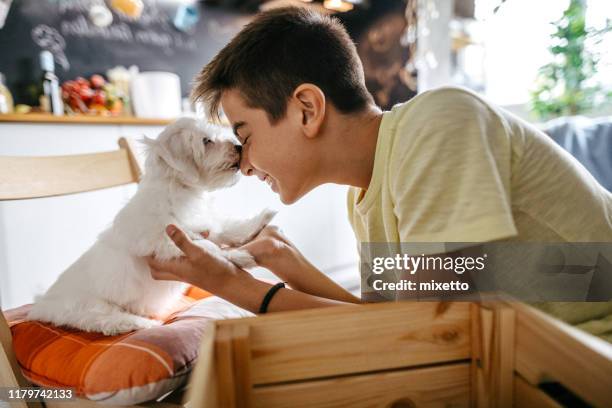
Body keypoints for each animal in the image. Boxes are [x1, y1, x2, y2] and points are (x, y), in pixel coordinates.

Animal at [28, 117, 272, 334]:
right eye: (206, 141)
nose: (239, 146)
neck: (181, 191)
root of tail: (42, 304)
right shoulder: (163, 240)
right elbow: (208, 245)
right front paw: (238, 256)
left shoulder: (205, 224)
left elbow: (224, 230)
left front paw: (258, 222)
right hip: (87, 307)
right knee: (108, 320)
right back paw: (147, 324)